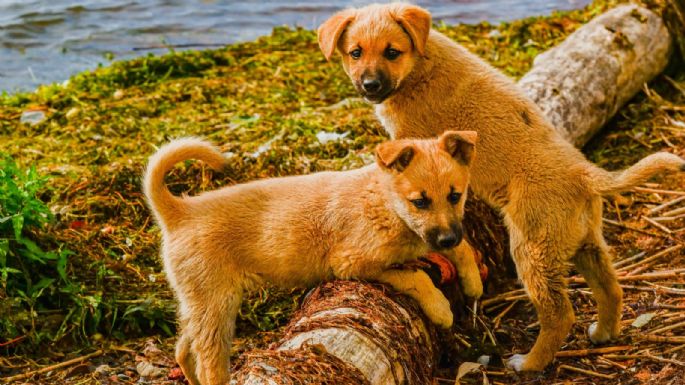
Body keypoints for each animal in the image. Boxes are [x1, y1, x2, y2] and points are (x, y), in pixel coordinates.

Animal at [144, 132, 484, 384]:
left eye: (455, 196)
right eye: (420, 202)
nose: (447, 237)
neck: (384, 203)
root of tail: (179, 211)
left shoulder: (432, 236)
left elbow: (460, 248)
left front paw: (473, 281)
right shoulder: (353, 263)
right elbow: (416, 275)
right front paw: (440, 308)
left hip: (199, 302)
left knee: (184, 350)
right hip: (217, 304)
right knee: (207, 362)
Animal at [320, 1, 684, 370]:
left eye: (392, 52)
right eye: (355, 52)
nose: (370, 85)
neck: (421, 65)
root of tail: (584, 173)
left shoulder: (410, 138)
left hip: (533, 250)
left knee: (559, 315)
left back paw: (529, 363)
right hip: (585, 242)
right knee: (611, 289)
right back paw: (603, 333)